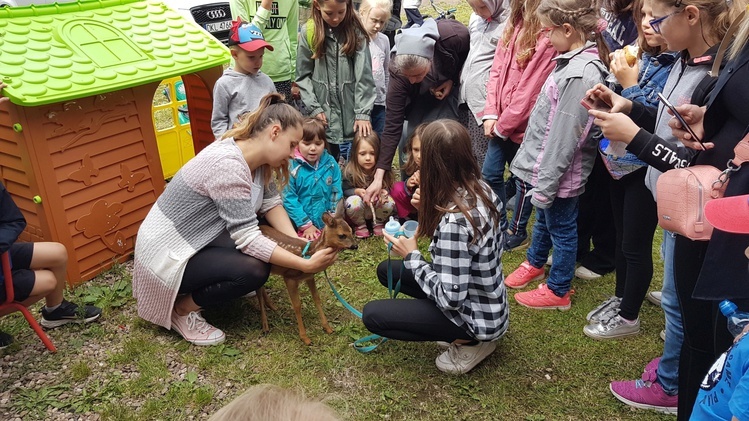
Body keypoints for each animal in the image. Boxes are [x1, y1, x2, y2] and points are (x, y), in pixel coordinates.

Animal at [260, 212, 356, 342]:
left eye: (351, 230)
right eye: (342, 235)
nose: (355, 246)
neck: (310, 252)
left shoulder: (309, 277)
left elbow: (317, 298)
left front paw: (328, 328)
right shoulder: (289, 277)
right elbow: (297, 305)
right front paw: (305, 337)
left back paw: (271, 306)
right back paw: (265, 326)